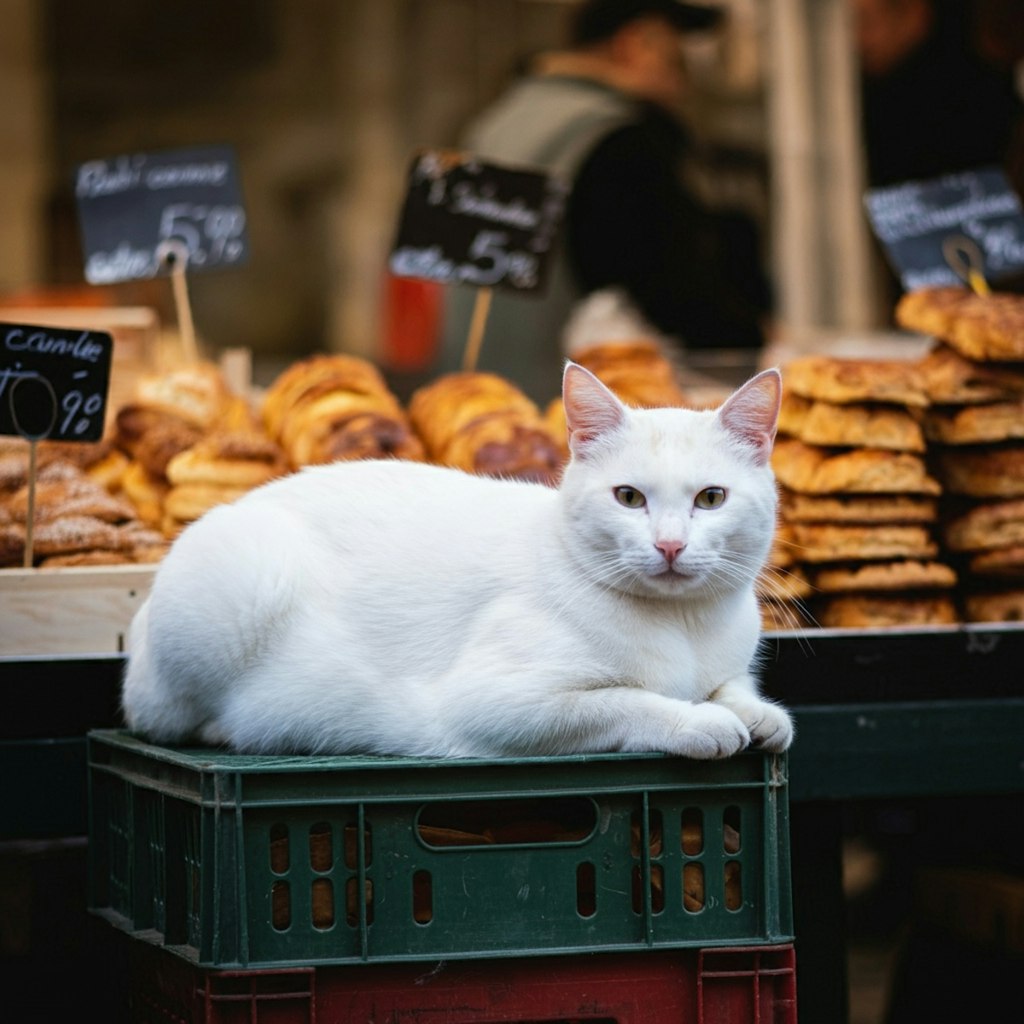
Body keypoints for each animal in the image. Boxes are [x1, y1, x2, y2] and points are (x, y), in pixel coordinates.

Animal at [119, 364, 790, 757]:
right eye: (629, 497)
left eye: (711, 499)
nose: (670, 545)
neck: (684, 627)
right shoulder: (499, 704)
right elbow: (625, 701)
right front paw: (700, 723)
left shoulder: (726, 663)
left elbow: (735, 686)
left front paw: (759, 716)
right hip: (244, 583)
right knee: (167, 718)